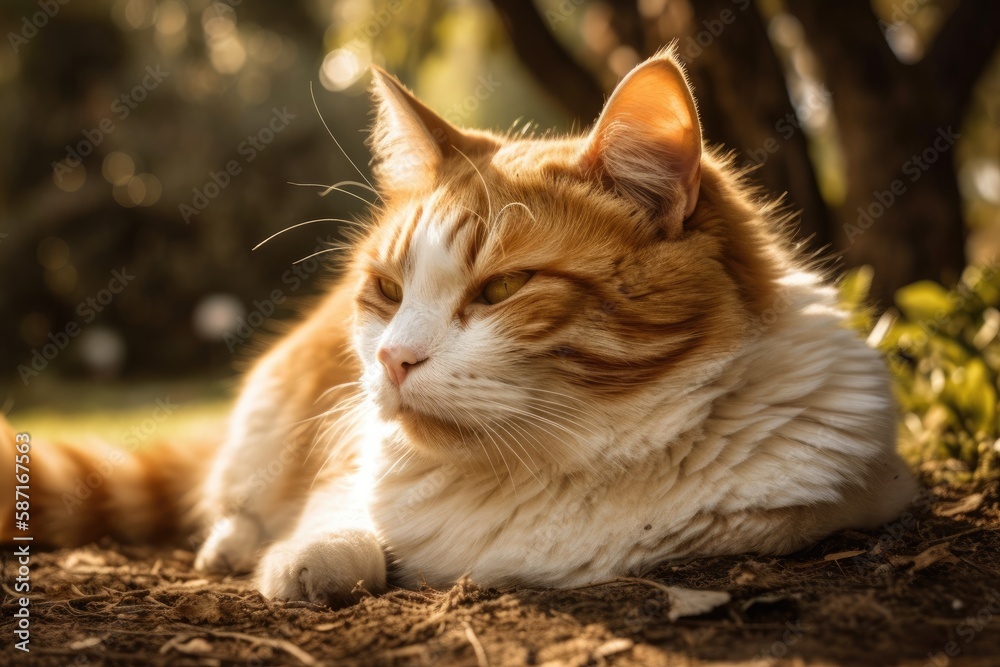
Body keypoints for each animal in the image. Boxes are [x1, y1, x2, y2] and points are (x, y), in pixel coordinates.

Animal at [3, 48, 916, 604]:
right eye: (386, 289)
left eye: (503, 287)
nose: (394, 359)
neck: (560, 463)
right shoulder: (346, 464)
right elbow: (338, 522)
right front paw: (310, 557)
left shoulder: (854, 492)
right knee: (232, 494)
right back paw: (233, 541)